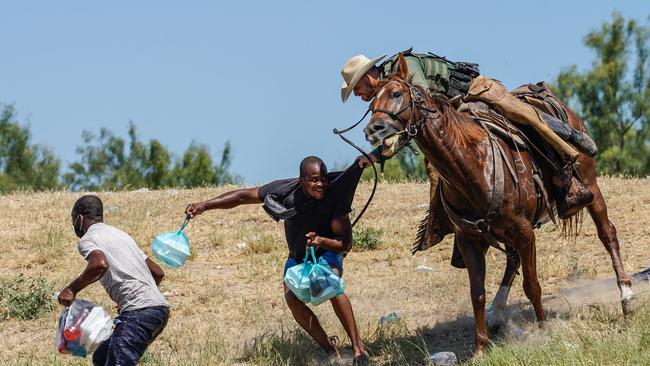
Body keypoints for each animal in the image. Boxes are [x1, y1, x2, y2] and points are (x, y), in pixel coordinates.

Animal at [362, 53, 632, 354]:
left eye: (397, 94)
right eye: (371, 104)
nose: (373, 130)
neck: (473, 165)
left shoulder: (524, 232)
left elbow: (532, 285)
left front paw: (544, 330)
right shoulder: (470, 239)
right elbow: (477, 293)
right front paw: (481, 347)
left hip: (590, 187)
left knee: (607, 234)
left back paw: (626, 297)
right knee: (512, 260)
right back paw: (497, 312)